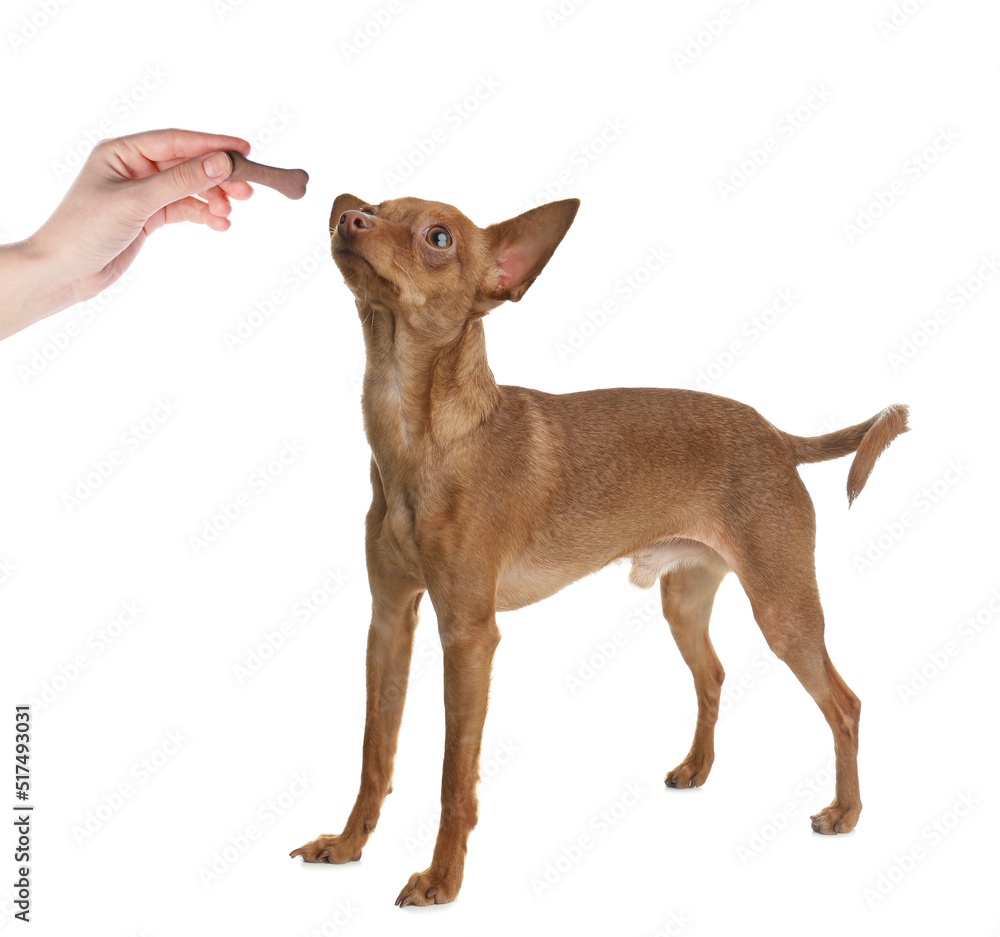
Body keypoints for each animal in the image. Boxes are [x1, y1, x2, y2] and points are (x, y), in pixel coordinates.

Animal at [290, 194, 908, 904]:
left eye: (437, 238)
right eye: (372, 207)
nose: (347, 218)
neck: (421, 436)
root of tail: (778, 437)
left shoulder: (468, 637)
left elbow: (454, 778)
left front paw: (442, 879)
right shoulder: (390, 623)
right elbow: (375, 752)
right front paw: (348, 844)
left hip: (784, 613)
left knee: (845, 704)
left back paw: (847, 811)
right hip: (684, 603)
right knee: (714, 675)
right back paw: (697, 768)